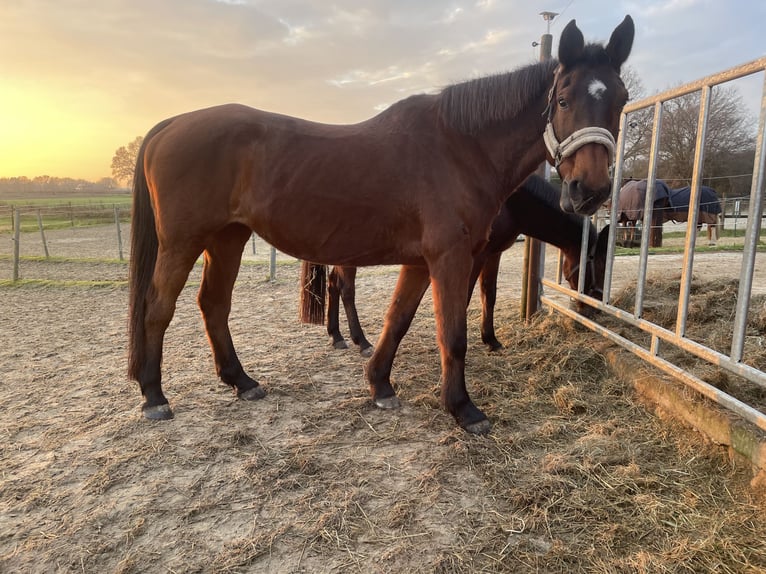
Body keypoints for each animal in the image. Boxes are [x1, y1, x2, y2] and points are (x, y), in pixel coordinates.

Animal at [321, 175, 610, 355]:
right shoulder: (473, 256)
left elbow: (488, 295)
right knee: (346, 290)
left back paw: (336, 336)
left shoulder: (493, 253)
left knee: (333, 285)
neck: (510, 201)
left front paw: (491, 340)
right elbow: (467, 298)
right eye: (597, 263)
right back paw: (361, 341)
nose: (593, 307)